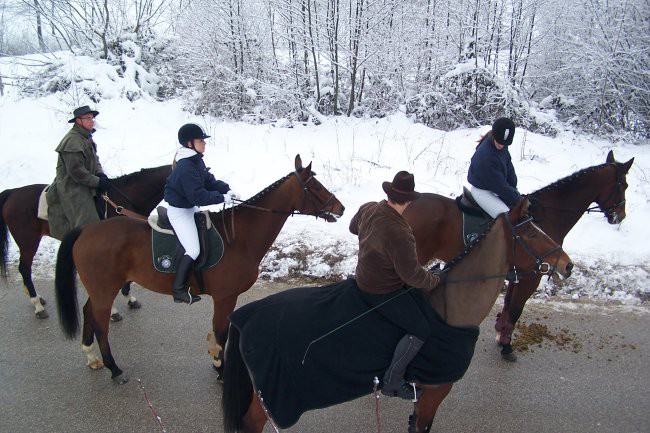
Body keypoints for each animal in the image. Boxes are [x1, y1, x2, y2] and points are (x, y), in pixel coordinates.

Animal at [0, 164, 172, 318]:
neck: (122, 203)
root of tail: (13, 192)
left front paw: (129, 297)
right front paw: (114, 309)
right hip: (28, 242)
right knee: (24, 268)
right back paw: (37, 305)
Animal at [53, 154, 344, 384]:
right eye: (315, 186)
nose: (340, 208)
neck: (239, 237)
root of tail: (86, 230)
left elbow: (218, 334)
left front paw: (216, 363)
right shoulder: (225, 297)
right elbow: (221, 334)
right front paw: (221, 369)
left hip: (100, 289)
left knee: (89, 312)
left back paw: (91, 356)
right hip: (105, 289)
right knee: (101, 324)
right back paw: (113, 368)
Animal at [220, 198, 568, 432]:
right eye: (532, 234)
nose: (567, 265)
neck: (450, 307)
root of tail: (245, 318)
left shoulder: (422, 396)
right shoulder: (435, 391)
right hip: (269, 400)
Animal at [404, 150, 632, 360]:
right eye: (623, 185)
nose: (620, 216)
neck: (547, 216)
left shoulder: (518, 273)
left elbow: (508, 305)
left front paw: (501, 331)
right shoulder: (532, 276)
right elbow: (515, 309)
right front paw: (506, 345)